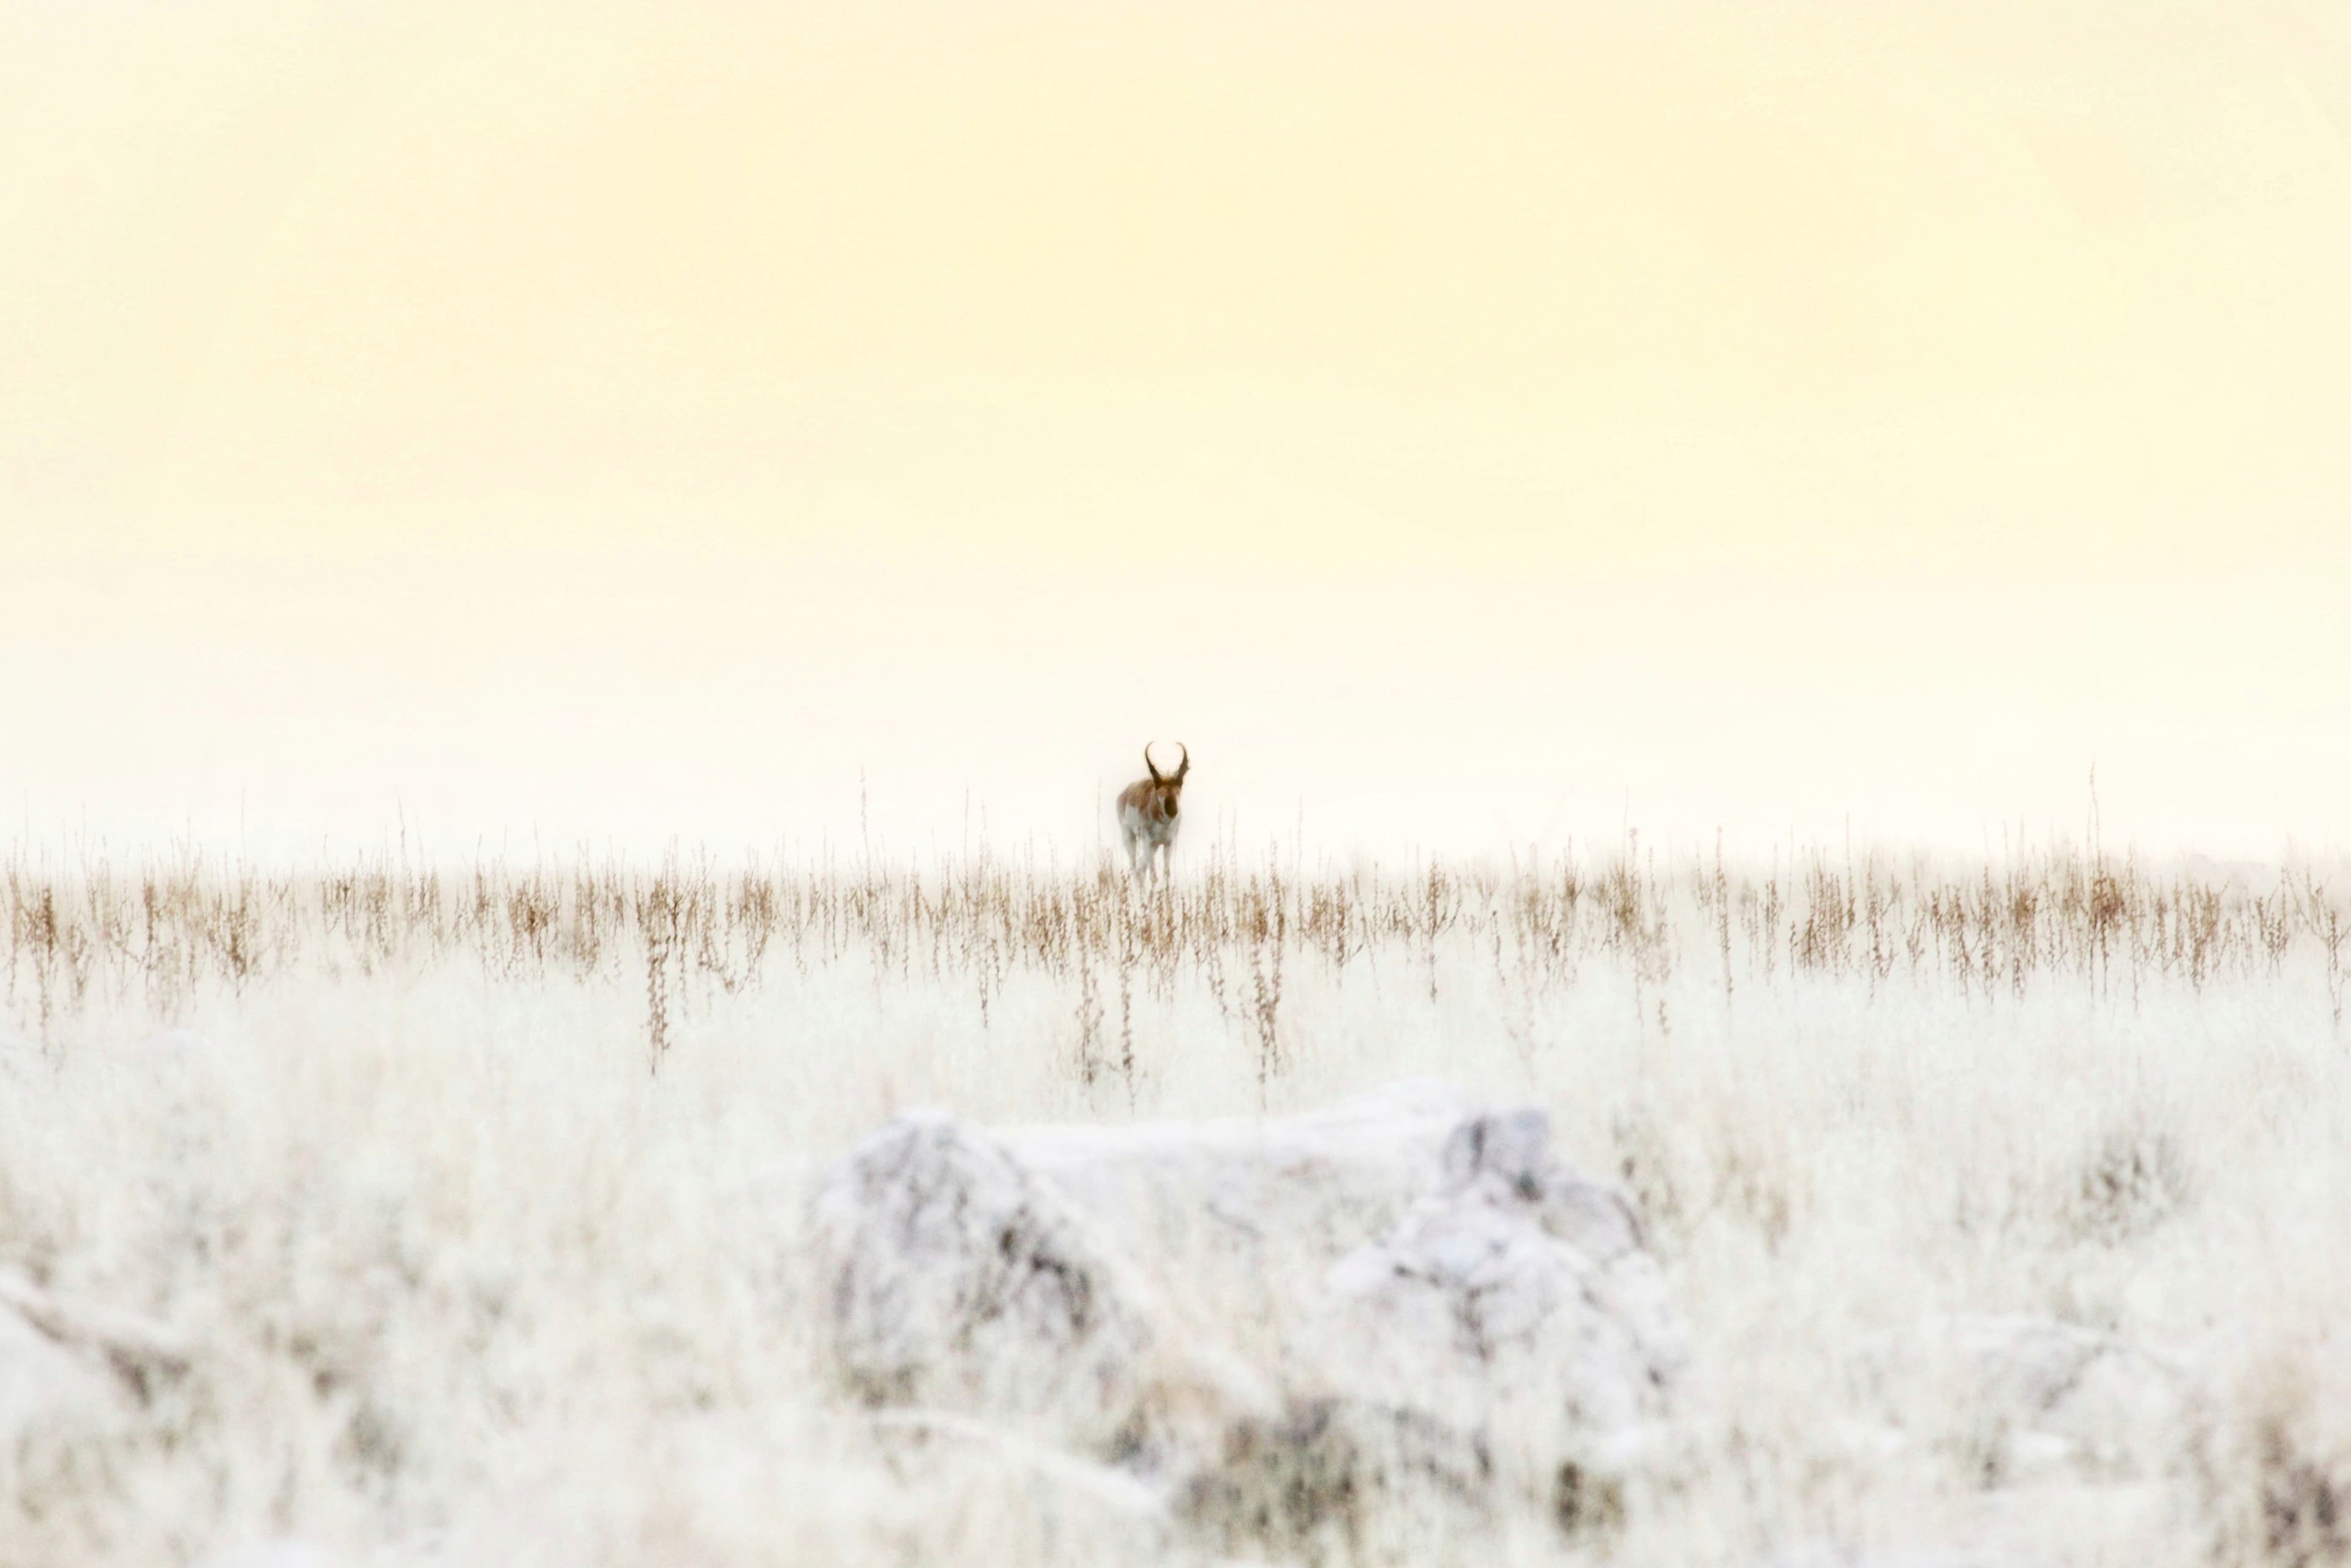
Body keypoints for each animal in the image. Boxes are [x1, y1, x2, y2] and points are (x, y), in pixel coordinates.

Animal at [1116, 742, 1189, 881]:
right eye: (1159, 792)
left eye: (1178, 791)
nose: (1172, 812)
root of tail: (1124, 794)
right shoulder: (1148, 842)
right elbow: (1154, 875)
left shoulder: (1168, 844)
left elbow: (1166, 873)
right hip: (1131, 839)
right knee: (1136, 868)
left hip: (1153, 846)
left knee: (1141, 868)